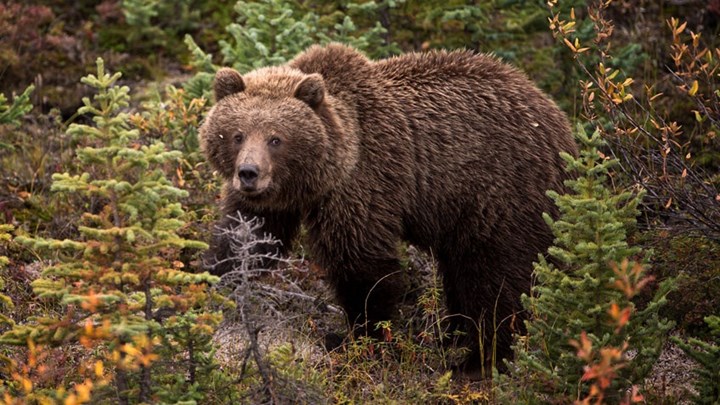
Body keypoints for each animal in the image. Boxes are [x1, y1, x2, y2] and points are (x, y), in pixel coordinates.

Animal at [201, 43, 580, 370]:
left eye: (275, 138)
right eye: (236, 135)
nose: (249, 173)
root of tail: (561, 123)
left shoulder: (365, 182)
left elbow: (362, 266)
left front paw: (362, 337)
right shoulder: (270, 204)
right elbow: (246, 241)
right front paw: (209, 279)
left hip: (501, 195)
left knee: (496, 279)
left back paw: (480, 360)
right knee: (462, 269)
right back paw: (452, 336)